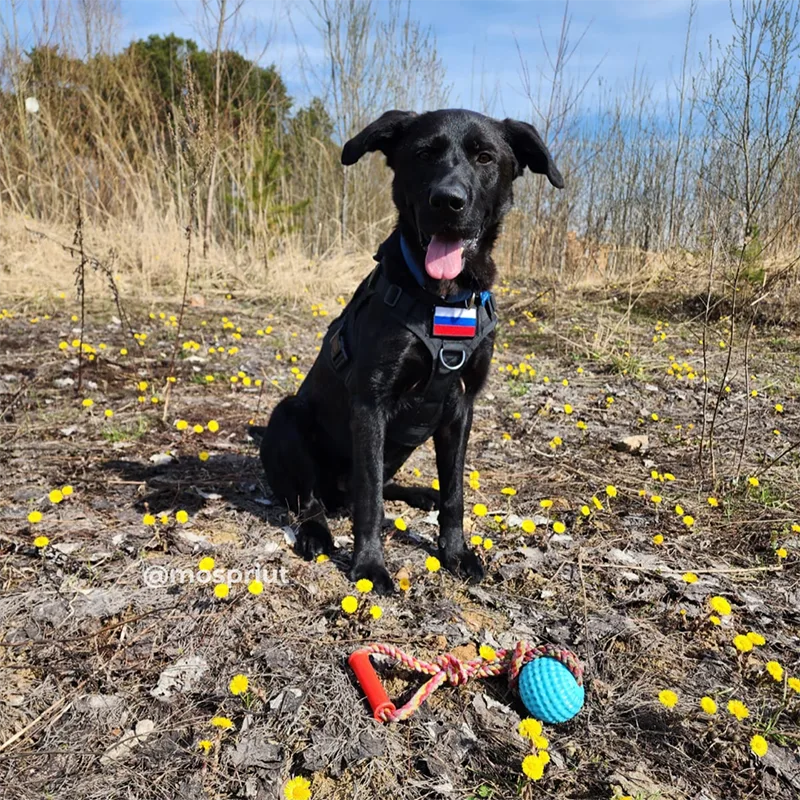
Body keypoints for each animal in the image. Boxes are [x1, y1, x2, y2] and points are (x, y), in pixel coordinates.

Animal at [252, 108, 564, 592]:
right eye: (423, 154)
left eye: (485, 157)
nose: (447, 201)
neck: (443, 298)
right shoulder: (370, 404)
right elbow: (370, 502)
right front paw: (368, 566)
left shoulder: (460, 408)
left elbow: (454, 492)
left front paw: (455, 552)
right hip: (288, 416)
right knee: (314, 497)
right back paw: (316, 532)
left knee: (376, 487)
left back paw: (419, 494)